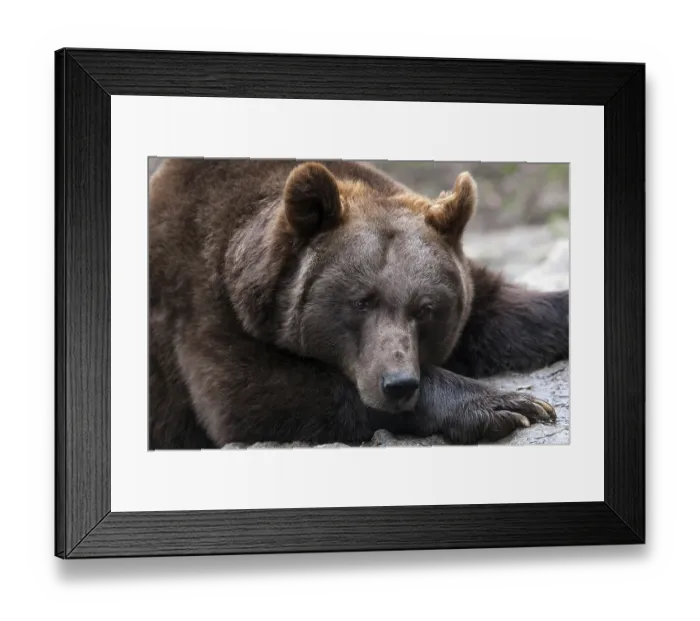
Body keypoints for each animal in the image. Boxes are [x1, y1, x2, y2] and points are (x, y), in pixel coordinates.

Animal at [148, 158, 569, 450]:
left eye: (425, 309)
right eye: (361, 302)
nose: (398, 384)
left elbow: (505, 311)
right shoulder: (202, 304)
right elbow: (251, 395)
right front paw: (508, 405)